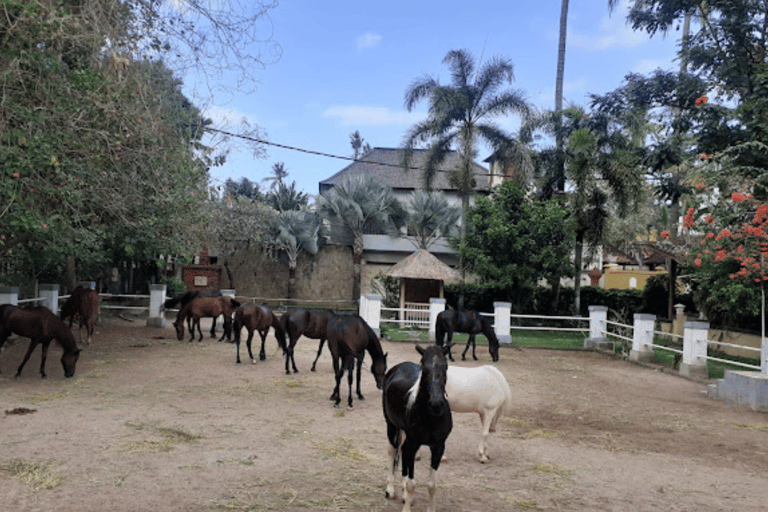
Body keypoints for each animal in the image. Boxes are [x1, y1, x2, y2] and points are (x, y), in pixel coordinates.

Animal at [382, 344, 452, 512]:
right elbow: (411, 483)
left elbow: (432, 485)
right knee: (392, 451)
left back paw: (403, 493)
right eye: (423, 368)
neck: (431, 416)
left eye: (445, 366)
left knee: (402, 451)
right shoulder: (413, 444)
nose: (436, 403)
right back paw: (390, 490)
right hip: (391, 426)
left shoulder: (438, 447)